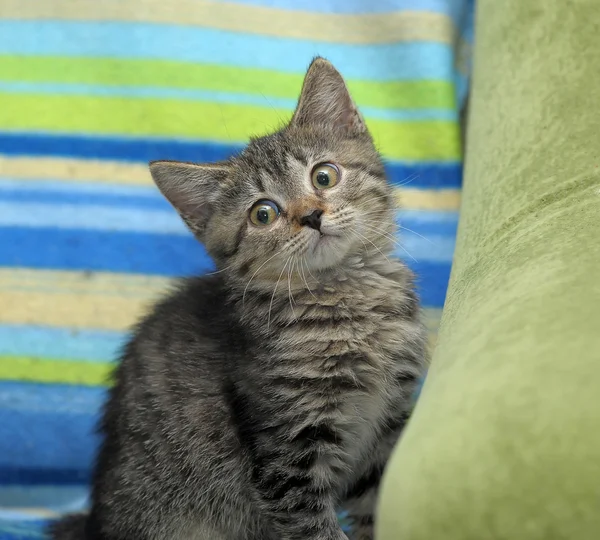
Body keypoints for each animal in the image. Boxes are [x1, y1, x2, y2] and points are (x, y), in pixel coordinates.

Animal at [49, 57, 428, 536]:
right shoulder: (286, 454)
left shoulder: (385, 431)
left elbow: (378, 506)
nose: (312, 215)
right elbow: (316, 527)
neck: (344, 297)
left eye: (324, 176)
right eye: (263, 214)